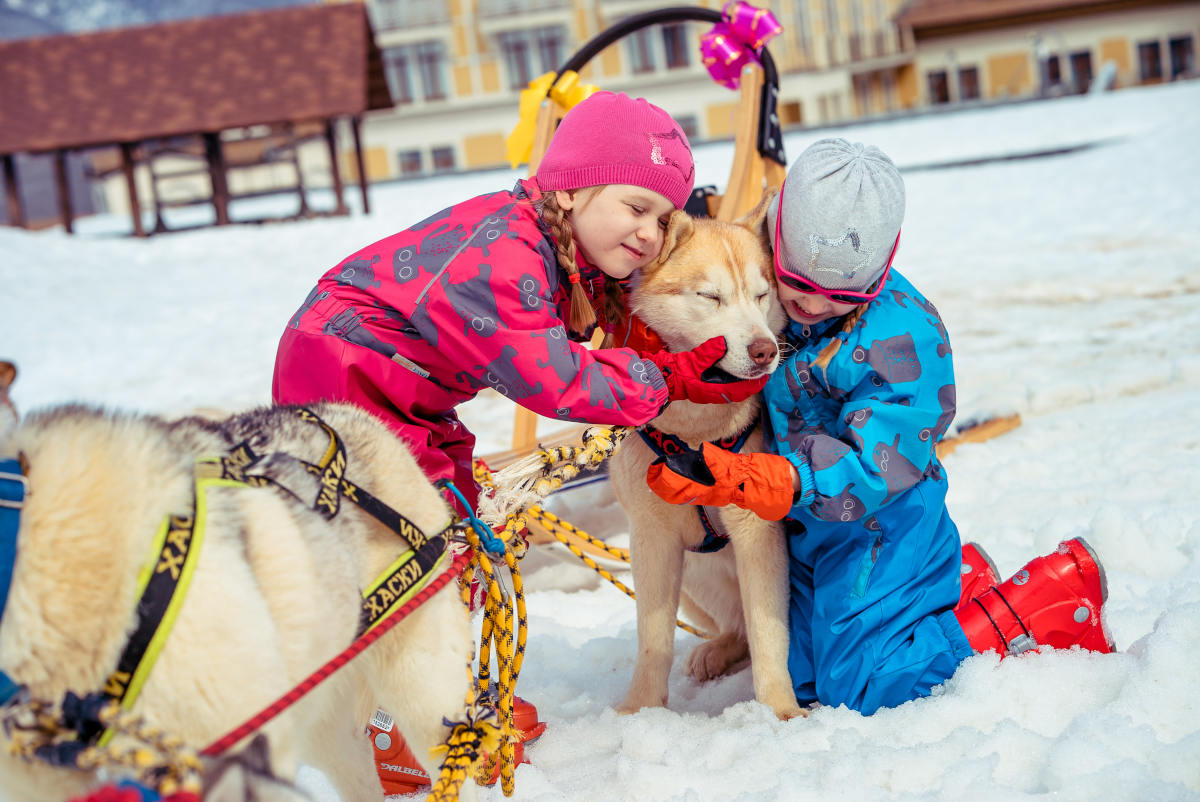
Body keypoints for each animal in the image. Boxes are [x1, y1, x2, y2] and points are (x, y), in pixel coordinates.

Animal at [614, 195, 801, 720]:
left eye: (761, 295)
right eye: (710, 297)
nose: (763, 350)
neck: (696, 435)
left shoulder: (757, 530)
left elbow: (769, 634)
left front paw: (781, 713)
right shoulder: (651, 538)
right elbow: (653, 639)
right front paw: (639, 711)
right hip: (693, 572)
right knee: (733, 628)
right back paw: (716, 651)